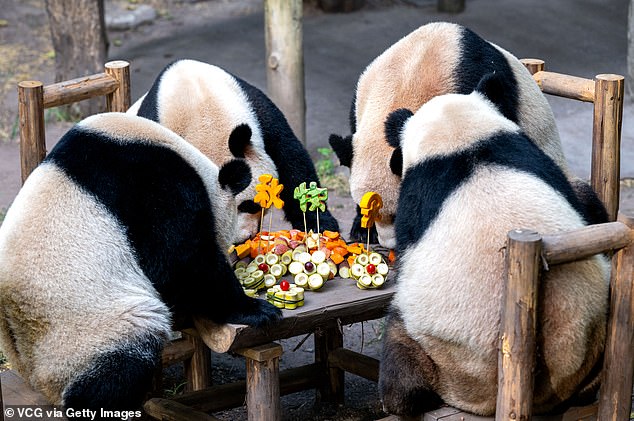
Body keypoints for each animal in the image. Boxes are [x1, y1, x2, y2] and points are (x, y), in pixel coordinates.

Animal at [0, 113, 278, 412]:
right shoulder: (155, 185)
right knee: (124, 357)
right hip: (84, 331)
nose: (242, 241)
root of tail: (35, 379)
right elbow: (183, 263)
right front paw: (256, 309)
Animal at [376, 73, 608, 416]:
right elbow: (583, 201)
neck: (463, 145)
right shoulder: (533, 157)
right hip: (596, 332)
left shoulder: (415, 200)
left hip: (444, 355)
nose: (392, 164)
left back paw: (398, 397)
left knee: (399, 350)